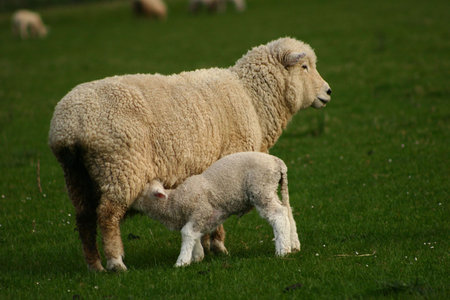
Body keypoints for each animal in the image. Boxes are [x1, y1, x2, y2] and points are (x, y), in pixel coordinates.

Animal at [132, 152, 298, 268]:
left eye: (140, 192)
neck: (174, 202)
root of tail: (278, 162)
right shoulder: (199, 218)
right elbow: (195, 235)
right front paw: (197, 256)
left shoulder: (201, 211)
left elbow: (187, 233)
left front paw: (181, 262)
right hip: (272, 190)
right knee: (288, 211)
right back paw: (293, 245)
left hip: (261, 189)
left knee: (278, 216)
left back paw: (282, 251)